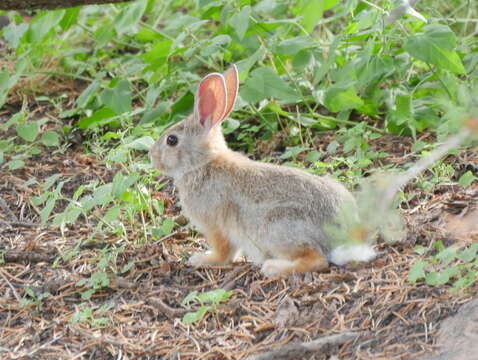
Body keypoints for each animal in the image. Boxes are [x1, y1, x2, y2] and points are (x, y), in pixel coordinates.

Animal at [150, 64, 378, 278]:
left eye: (172, 140)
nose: (152, 157)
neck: (202, 163)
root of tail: (344, 233)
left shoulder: (214, 225)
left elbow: (224, 251)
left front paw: (203, 259)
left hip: (276, 228)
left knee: (316, 259)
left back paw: (273, 267)